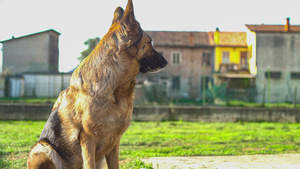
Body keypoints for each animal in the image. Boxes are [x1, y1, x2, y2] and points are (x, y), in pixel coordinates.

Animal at [27, 0, 168, 168]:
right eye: (150, 42)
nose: (166, 62)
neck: (114, 88)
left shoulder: (114, 142)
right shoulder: (88, 139)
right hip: (41, 148)